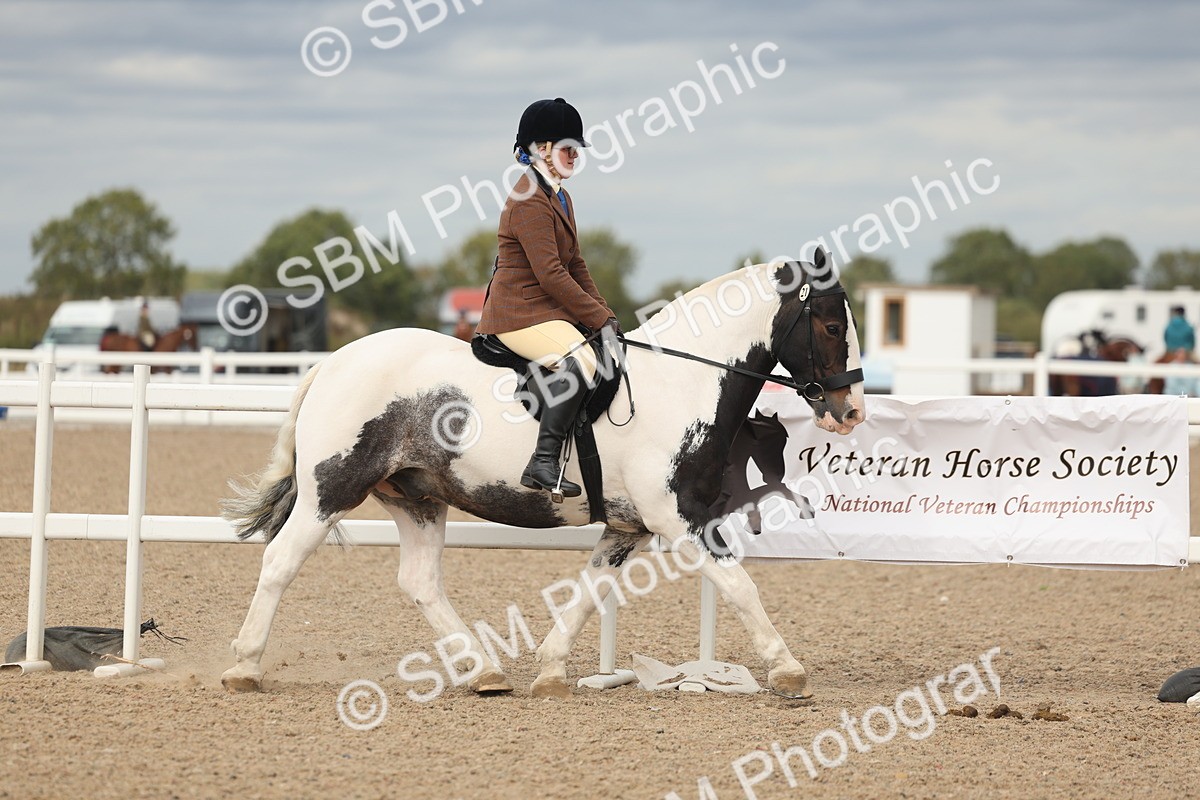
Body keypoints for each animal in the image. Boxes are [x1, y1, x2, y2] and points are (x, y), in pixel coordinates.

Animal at [219, 253, 866, 699]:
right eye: (833, 327)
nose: (851, 411)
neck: (682, 383)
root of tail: (333, 361)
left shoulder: (629, 527)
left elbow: (588, 593)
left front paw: (551, 671)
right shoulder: (680, 517)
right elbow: (740, 586)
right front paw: (788, 669)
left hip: (418, 497)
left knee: (420, 582)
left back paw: (484, 672)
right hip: (333, 489)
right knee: (280, 562)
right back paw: (244, 667)